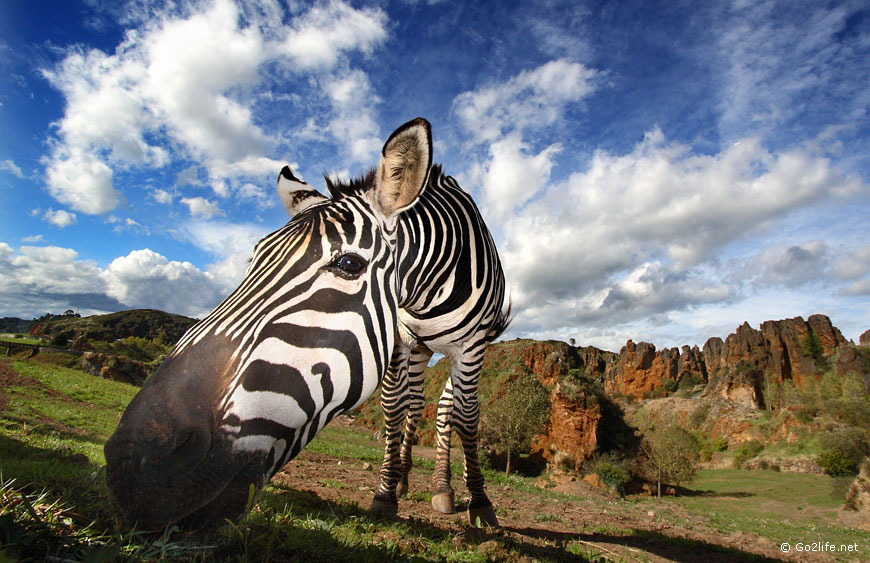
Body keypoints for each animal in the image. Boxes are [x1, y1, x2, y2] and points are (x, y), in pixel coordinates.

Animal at [104, 119, 508, 532]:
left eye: (349, 264)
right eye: (254, 258)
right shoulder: (397, 338)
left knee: (444, 411)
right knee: (413, 406)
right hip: (418, 351)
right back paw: (405, 478)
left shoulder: (472, 347)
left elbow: (468, 417)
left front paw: (480, 502)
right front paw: (385, 492)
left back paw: (443, 488)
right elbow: (395, 409)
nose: (136, 458)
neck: (431, 283)